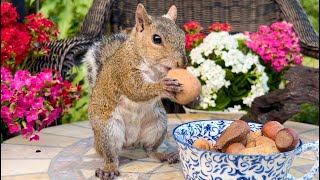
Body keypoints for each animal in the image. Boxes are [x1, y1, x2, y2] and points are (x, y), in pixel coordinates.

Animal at [82, 3, 186, 179]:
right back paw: (108, 169)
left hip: (157, 124)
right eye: (156, 39)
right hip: (108, 130)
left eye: (183, 35)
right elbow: (137, 90)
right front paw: (162, 87)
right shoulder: (125, 71)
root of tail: (130, 142)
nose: (182, 62)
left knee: (149, 149)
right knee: (110, 156)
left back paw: (163, 155)